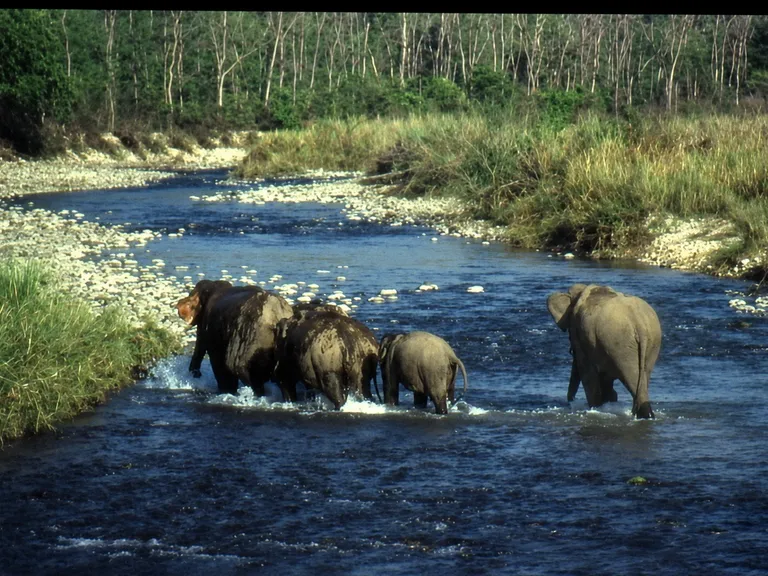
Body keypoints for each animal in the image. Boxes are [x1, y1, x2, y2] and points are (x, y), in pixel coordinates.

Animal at [547, 283, 662, 419]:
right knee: (643, 377)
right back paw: (644, 415)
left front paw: (595, 407)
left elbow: (586, 370)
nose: (570, 402)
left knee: (631, 378)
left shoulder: (580, 333)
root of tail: (639, 324)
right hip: (650, 342)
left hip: (620, 344)